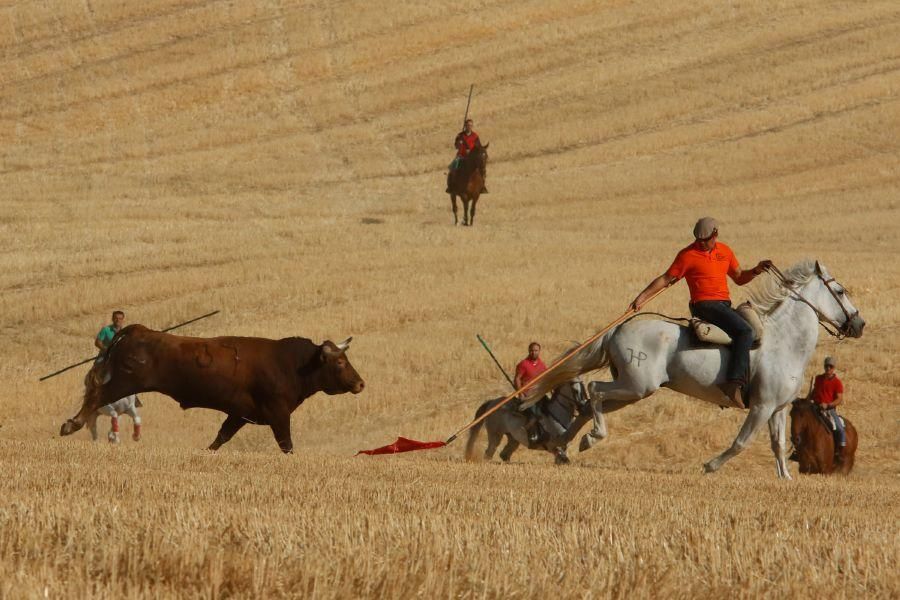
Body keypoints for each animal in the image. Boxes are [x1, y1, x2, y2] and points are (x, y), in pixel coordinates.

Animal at [59, 326, 366, 452]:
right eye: (340, 362)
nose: (361, 383)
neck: (291, 363)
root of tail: (139, 330)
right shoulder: (278, 414)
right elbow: (286, 444)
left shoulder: (239, 414)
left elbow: (221, 437)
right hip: (123, 383)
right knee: (96, 395)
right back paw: (70, 425)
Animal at [532, 260, 860, 480]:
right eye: (840, 290)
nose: (859, 323)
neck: (784, 340)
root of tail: (619, 329)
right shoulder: (761, 407)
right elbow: (741, 442)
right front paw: (710, 465)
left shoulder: (777, 408)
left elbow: (778, 444)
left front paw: (785, 478)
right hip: (637, 385)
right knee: (593, 390)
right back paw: (591, 438)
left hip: (632, 391)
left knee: (589, 405)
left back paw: (563, 445)